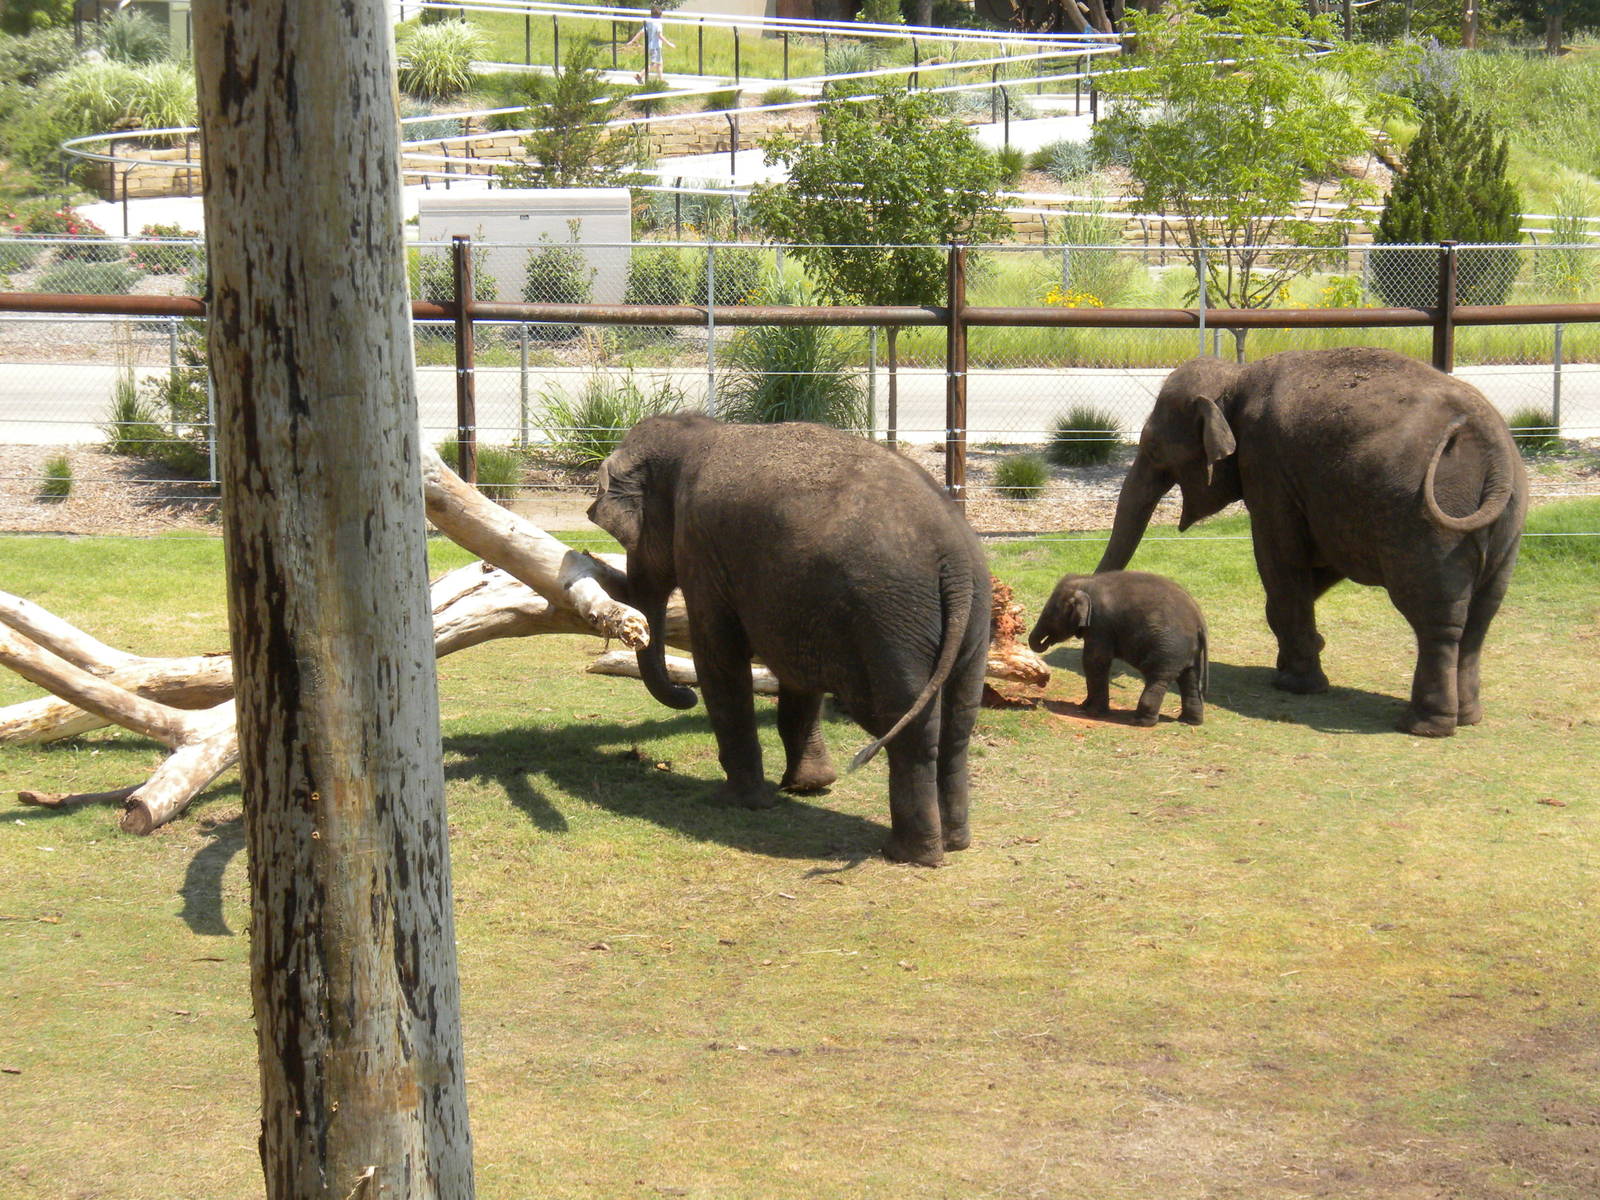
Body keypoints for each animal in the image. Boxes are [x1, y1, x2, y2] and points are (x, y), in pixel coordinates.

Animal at [587, 413, 991, 866]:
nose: (684, 697)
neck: (699, 430)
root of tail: (956, 561)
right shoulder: (798, 603)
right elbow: (795, 674)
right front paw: (809, 786)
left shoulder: (701, 549)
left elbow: (720, 659)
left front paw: (736, 800)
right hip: (972, 618)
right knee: (958, 722)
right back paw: (955, 841)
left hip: (893, 619)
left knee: (908, 722)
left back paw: (908, 853)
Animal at [1028, 570, 1208, 726]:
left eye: (1049, 614)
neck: (1087, 580)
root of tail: (1200, 623)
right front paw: (1084, 706)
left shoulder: (1101, 623)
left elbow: (1094, 661)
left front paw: (1092, 712)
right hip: (1190, 652)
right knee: (1190, 679)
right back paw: (1190, 720)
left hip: (1169, 649)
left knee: (1158, 678)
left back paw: (1140, 721)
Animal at [1096, 347, 1527, 737]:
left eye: (1154, 449)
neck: (1237, 375)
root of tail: (1491, 443)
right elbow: (1323, 563)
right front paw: (1299, 656)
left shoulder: (1267, 466)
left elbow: (1280, 557)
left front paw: (1297, 684)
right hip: (1507, 522)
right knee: (1479, 616)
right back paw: (1467, 717)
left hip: (1426, 523)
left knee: (1434, 616)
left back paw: (1423, 726)